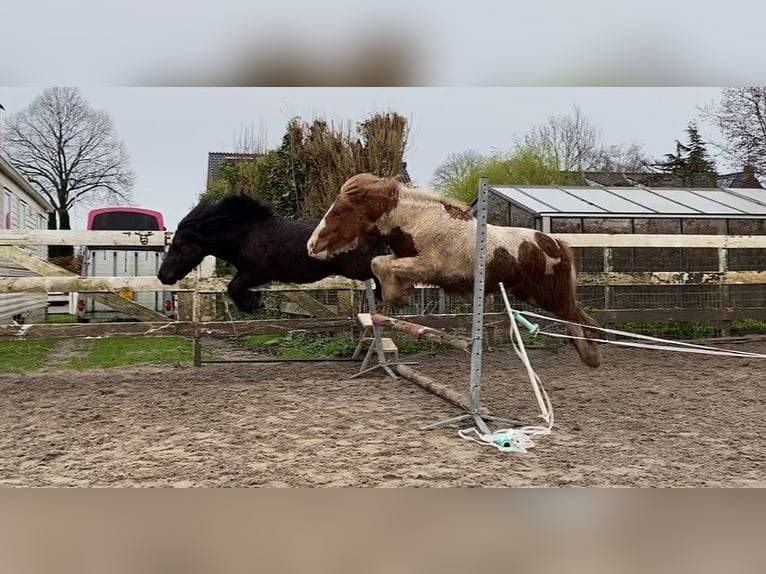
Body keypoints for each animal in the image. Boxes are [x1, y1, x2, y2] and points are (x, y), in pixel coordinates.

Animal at [160, 195, 392, 316]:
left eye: (178, 245)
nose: (163, 275)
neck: (246, 234)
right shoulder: (247, 272)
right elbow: (233, 287)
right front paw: (254, 302)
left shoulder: (262, 272)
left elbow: (233, 287)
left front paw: (251, 305)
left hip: (357, 268)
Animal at [308, 173, 604, 368]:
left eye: (338, 212)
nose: (312, 246)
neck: (419, 222)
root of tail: (555, 243)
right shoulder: (406, 258)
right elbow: (378, 263)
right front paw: (400, 294)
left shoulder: (429, 266)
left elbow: (384, 265)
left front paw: (399, 296)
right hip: (534, 296)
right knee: (583, 321)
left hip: (551, 297)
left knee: (583, 323)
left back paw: (591, 357)